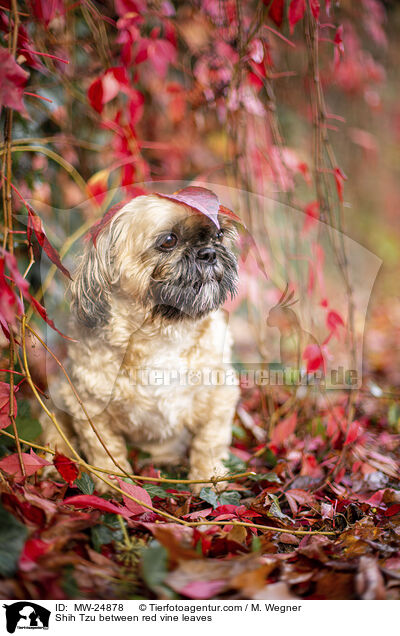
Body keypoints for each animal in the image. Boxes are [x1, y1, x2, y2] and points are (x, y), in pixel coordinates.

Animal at [42, 189, 239, 492]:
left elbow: (208, 443)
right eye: (168, 240)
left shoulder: (220, 397)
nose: (209, 253)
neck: (162, 333)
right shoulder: (89, 408)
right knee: (55, 433)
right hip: (58, 401)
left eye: (218, 236)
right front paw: (115, 483)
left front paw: (209, 479)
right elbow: (105, 449)